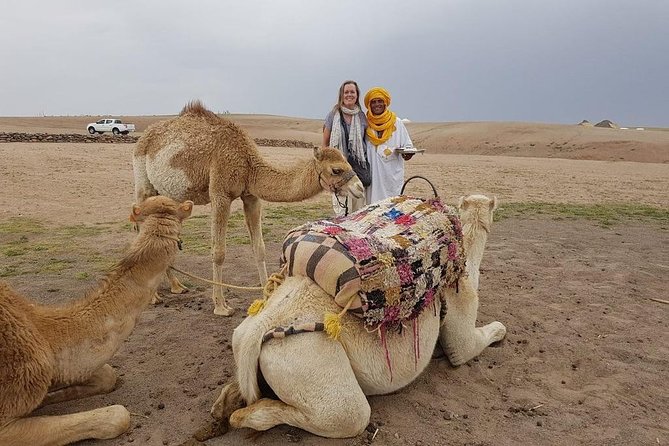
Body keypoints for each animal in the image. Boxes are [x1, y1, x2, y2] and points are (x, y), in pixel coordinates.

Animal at [133, 100, 364, 316]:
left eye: (348, 162)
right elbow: (219, 252)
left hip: (168, 194)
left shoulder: (251, 196)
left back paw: (177, 286)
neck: (248, 165)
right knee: (139, 223)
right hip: (144, 182)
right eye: (336, 169)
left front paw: (266, 296)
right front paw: (221, 306)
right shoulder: (220, 194)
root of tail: (142, 139)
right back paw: (154, 296)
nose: (360, 188)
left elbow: (259, 248)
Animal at [206, 194, 505, 439]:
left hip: (248, 342)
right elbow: (463, 349)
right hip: (305, 362)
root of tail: (257, 331)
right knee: (349, 415)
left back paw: (223, 407)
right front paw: (500, 331)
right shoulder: (461, 298)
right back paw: (238, 415)